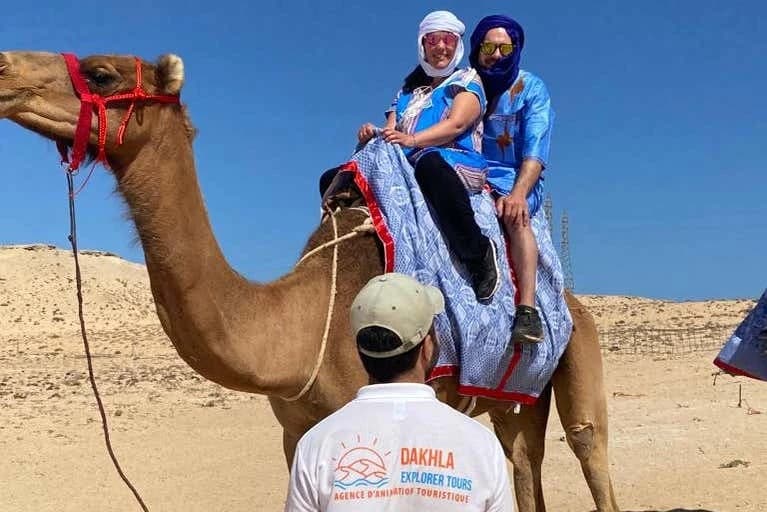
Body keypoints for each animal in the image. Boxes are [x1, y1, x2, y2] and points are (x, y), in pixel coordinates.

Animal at [0, 51, 619, 512]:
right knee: (524, 461)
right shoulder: (293, 431)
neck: (298, 327)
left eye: (102, 74)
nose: (4, 66)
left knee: (588, 444)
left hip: (578, 354)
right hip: (514, 398)